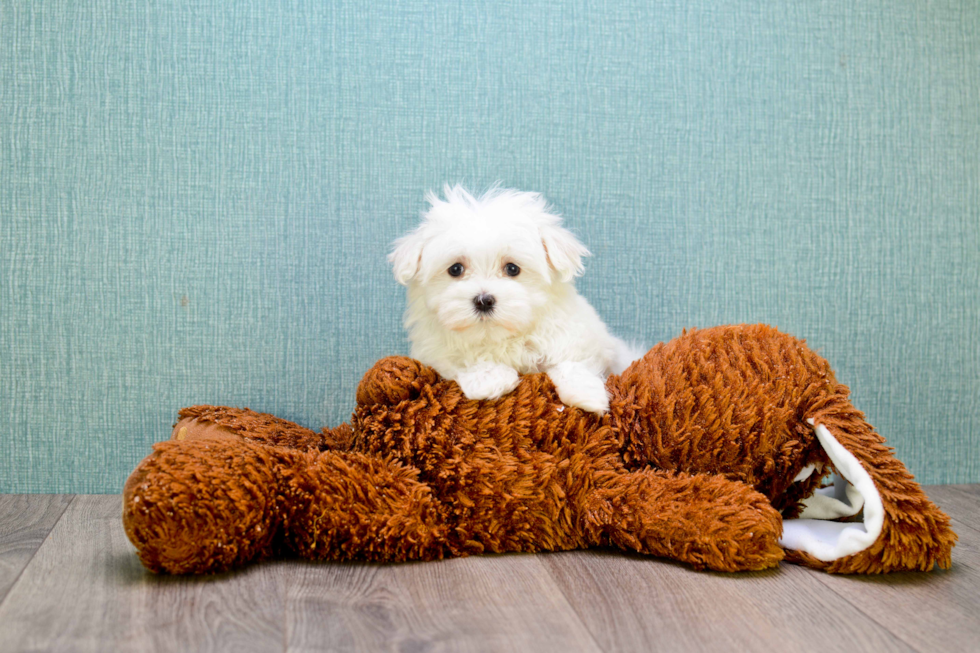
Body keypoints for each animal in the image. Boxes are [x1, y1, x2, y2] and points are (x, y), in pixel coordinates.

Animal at [390, 186, 644, 416]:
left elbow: (572, 361)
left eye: (512, 269)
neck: (501, 337)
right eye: (455, 269)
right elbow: (464, 359)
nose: (483, 300)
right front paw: (490, 379)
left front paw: (587, 394)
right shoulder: (435, 352)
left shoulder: (577, 337)